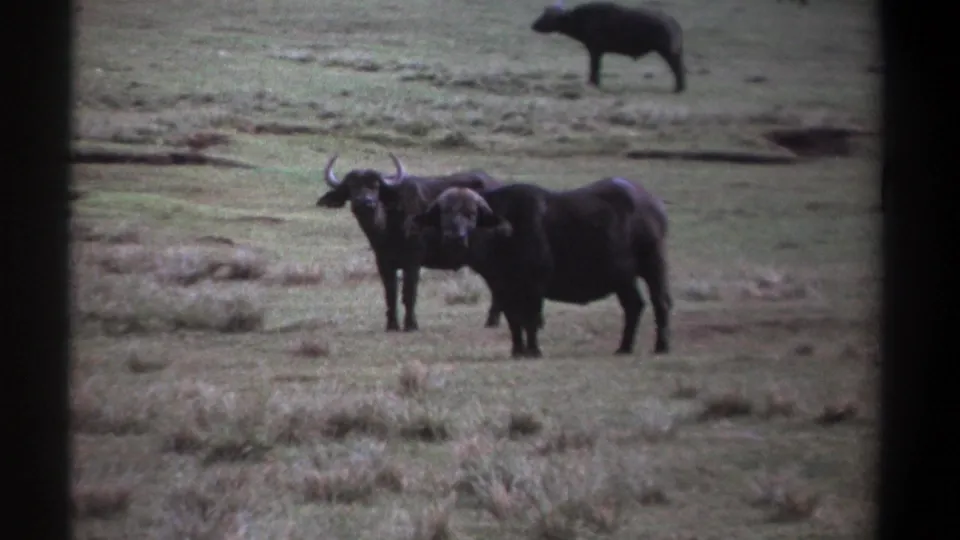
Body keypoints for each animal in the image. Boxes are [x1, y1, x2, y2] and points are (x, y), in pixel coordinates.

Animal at [316, 153, 504, 332]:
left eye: (376, 186)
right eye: (352, 186)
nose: (365, 202)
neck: (387, 225)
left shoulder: (413, 261)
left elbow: (409, 293)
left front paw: (411, 325)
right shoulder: (383, 262)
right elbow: (390, 293)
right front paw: (392, 325)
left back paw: (492, 321)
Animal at [411, 177, 672, 358]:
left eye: (471, 213)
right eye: (444, 213)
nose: (455, 236)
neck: (505, 236)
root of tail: (653, 203)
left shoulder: (535, 286)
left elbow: (531, 319)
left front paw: (533, 351)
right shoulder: (504, 288)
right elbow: (513, 320)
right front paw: (517, 350)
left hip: (653, 265)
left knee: (660, 302)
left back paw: (661, 346)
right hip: (623, 278)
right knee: (634, 306)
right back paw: (624, 347)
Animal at [530, 1, 687, 93]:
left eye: (549, 16)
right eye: (545, 13)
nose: (533, 25)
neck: (582, 18)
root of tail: (673, 23)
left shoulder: (595, 50)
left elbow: (594, 67)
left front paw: (593, 82)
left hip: (668, 52)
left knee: (678, 69)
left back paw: (678, 88)